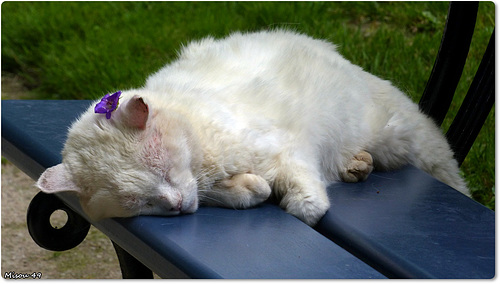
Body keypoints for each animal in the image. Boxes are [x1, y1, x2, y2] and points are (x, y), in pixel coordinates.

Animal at [36, 29, 468, 226]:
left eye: (162, 171)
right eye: (139, 203)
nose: (174, 206)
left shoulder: (288, 150)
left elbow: (307, 200)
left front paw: (296, 205)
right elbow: (246, 192)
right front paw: (248, 189)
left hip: (396, 135)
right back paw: (354, 167)